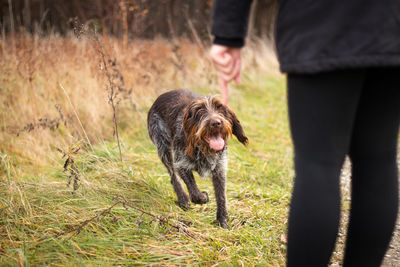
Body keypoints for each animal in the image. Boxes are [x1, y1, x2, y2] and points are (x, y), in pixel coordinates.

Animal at [147, 89, 247, 228]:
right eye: (199, 112)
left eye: (220, 109)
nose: (216, 123)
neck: (204, 149)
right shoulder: (181, 164)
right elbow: (194, 192)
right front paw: (203, 197)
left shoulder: (220, 169)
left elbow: (221, 196)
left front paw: (223, 220)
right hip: (163, 147)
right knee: (173, 176)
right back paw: (183, 199)